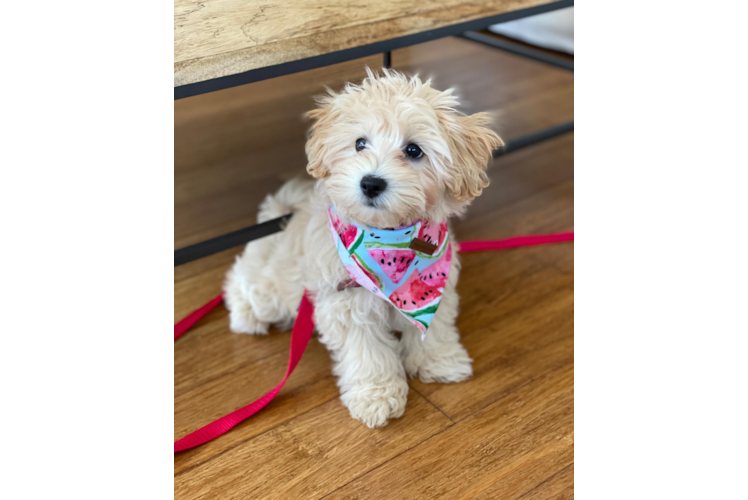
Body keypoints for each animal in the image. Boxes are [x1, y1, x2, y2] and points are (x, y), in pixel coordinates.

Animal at [224, 69, 502, 430]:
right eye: (359, 143)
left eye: (414, 150)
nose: (371, 183)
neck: (389, 236)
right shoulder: (347, 303)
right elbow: (368, 355)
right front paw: (377, 397)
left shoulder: (438, 289)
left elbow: (434, 329)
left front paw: (440, 361)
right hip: (275, 291)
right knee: (243, 279)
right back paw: (245, 315)